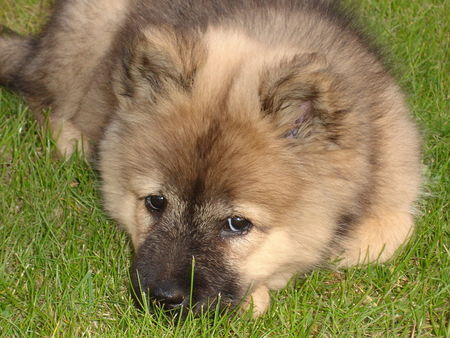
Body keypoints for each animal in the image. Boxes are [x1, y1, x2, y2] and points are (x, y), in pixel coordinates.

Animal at [0, 0, 422, 316]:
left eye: (237, 224)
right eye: (156, 202)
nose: (163, 299)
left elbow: (393, 232)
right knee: (41, 98)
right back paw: (73, 140)